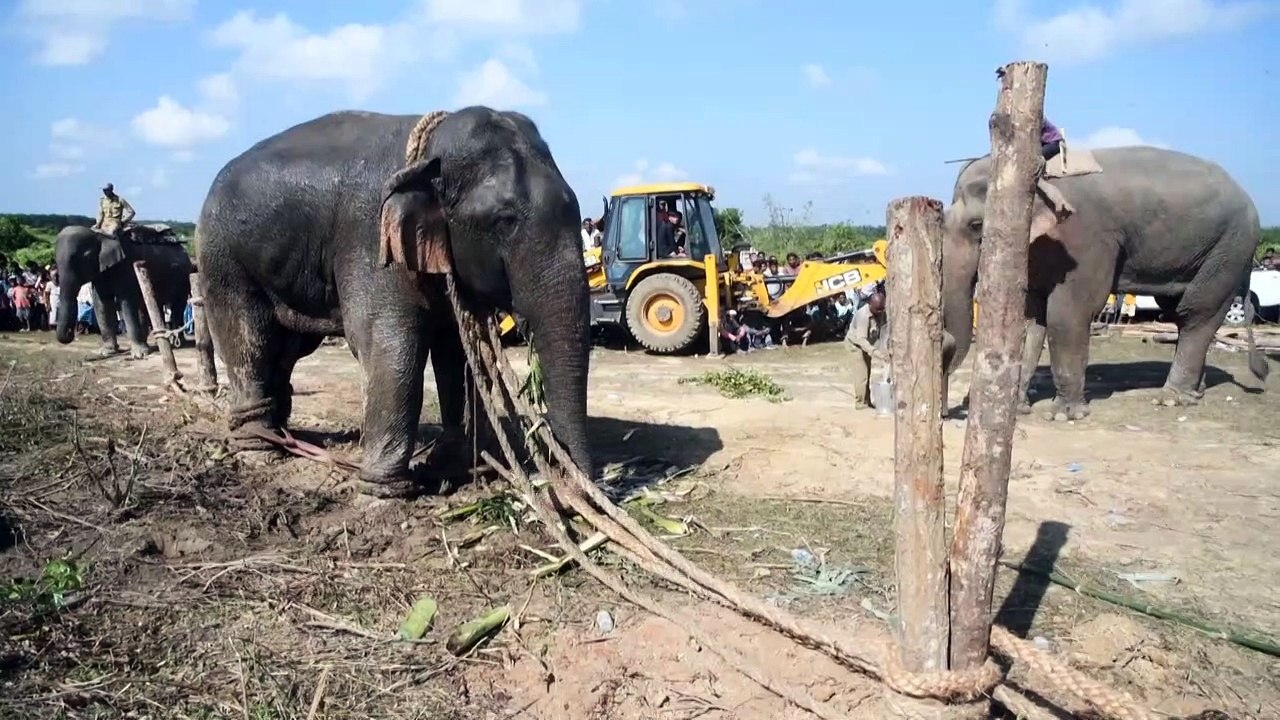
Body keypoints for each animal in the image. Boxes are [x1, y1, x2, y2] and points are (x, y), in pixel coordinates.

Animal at [54, 225, 194, 358]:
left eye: (85, 257)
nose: (71, 332)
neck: (101, 235)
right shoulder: (100, 274)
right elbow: (102, 304)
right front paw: (106, 352)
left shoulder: (128, 268)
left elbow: (126, 303)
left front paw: (139, 354)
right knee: (153, 307)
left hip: (184, 279)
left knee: (177, 307)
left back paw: (177, 343)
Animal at [195, 106, 592, 499]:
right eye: (504, 221)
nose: (572, 485)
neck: (429, 155)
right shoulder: (370, 238)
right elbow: (389, 342)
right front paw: (382, 493)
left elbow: (455, 351)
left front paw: (451, 468)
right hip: (222, 257)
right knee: (248, 336)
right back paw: (257, 448)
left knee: (289, 347)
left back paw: (282, 435)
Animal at [942, 146, 1268, 420]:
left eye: (977, 226)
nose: (953, 411)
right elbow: (1031, 319)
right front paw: (1020, 408)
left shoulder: (1084, 239)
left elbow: (1068, 314)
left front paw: (1064, 415)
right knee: (1178, 311)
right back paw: (1195, 392)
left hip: (1230, 248)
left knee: (1198, 312)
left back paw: (1171, 398)